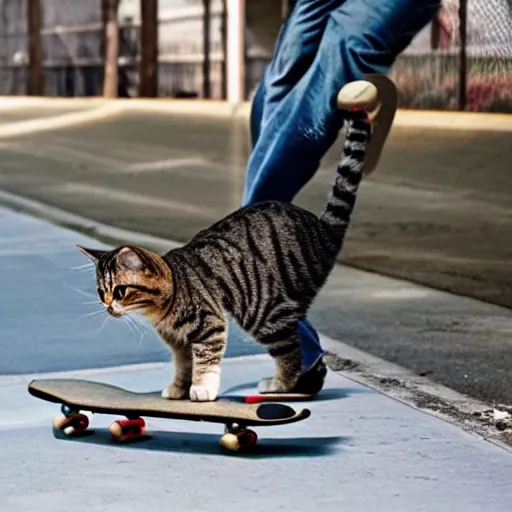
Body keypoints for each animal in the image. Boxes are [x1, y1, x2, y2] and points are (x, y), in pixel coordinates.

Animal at [77, 110, 372, 402]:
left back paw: (281, 384)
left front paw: (202, 388)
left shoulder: (210, 325)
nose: (107, 306)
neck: (169, 298)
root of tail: (323, 227)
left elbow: (205, 362)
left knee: (290, 352)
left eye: (120, 291)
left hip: (262, 312)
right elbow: (183, 365)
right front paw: (179, 387)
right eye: (101, 292)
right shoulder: (179, 343)